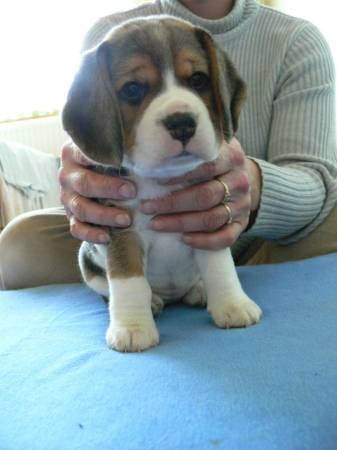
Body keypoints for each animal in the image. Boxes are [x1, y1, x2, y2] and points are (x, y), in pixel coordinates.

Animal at [63, 15, 262, 352]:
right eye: (132, 89)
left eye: (198, 79)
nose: (182, 123)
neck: (159, 178)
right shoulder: (121, 230)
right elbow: (128, 280)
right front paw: (132, 327)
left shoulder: (207, 217)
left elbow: (220, 267)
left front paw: (233, 304)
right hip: (87, 262)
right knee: (112, 288)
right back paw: (153, 301)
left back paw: (199, 290)